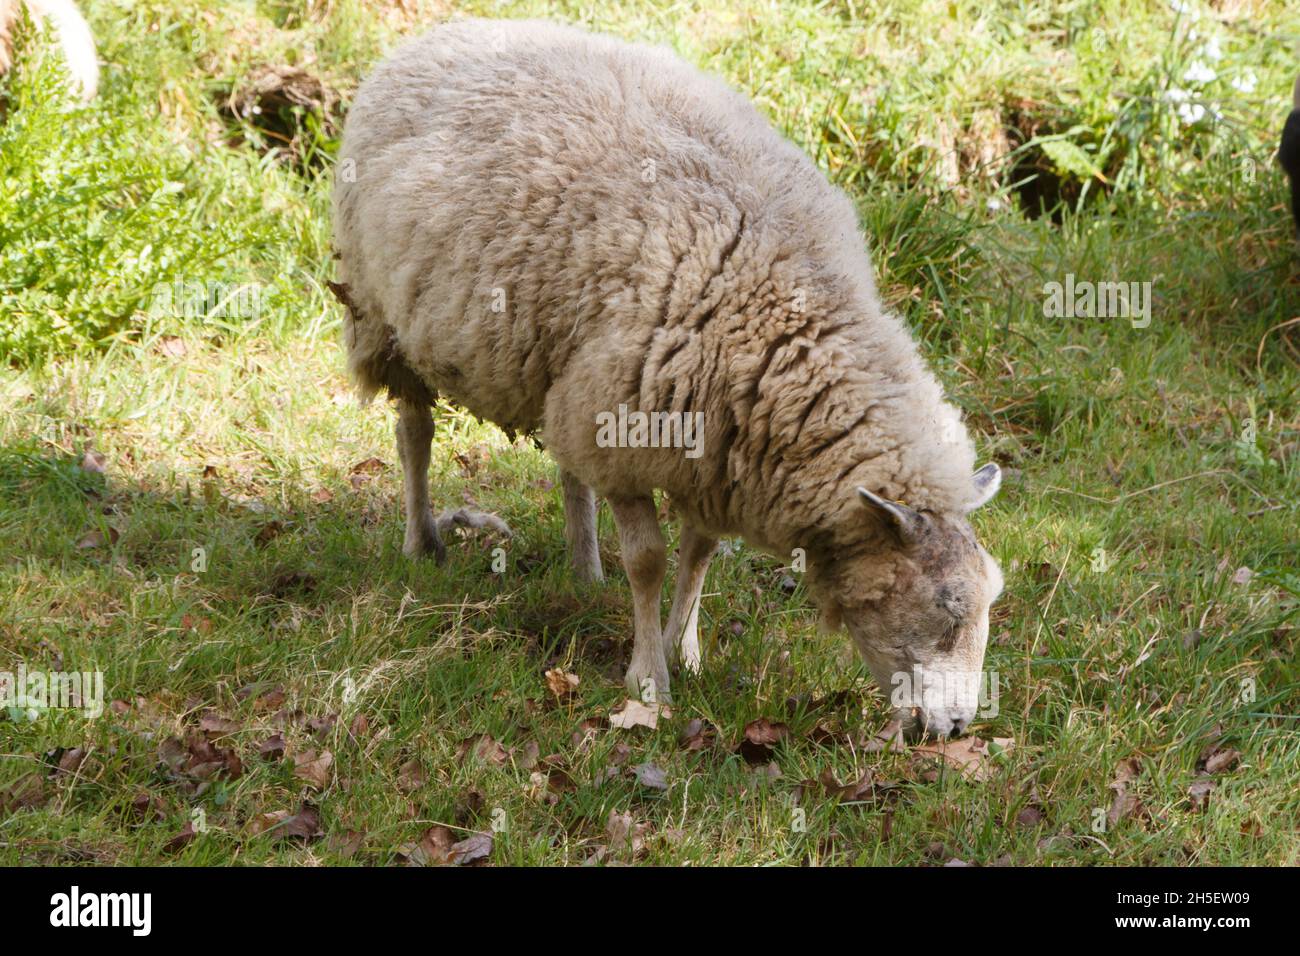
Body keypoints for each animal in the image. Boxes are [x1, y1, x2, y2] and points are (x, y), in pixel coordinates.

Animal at [332, 18, 1005, 738]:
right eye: (946, 611)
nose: (958, 727)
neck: (779, 317)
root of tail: (445, 30)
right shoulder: (630, 435)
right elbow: (649, 561)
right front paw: (648, 679)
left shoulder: (712, 452)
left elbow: (700, 552)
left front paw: (685, 648)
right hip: (382, 316)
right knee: (415, 434)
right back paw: (422, 540)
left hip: (565, 365)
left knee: (567, 467)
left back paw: (583, 567)